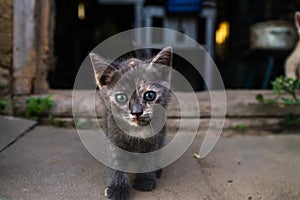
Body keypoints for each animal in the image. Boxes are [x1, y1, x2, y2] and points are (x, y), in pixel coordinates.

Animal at [89, 47, 172, 200]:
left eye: (149, 95)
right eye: (121, 98)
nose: (136, 112)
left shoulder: (155, 137)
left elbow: (150, 156)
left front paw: (145, 180)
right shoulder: (112, 135)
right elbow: (116, 160)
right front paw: (117, 188)